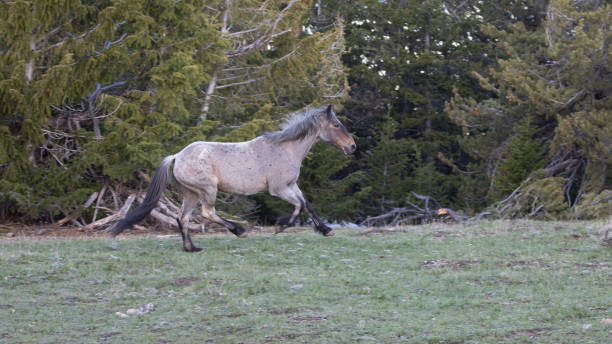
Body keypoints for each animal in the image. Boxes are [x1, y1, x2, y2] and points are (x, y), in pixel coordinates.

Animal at [112, 103, 356, 251]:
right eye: (336, 125)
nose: (352, 146)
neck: (286, 149)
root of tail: (177, 156)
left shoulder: (291, 185)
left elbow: (307, 204)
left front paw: (326, 230)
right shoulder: (278, 189)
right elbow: (298, 206)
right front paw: (280, 226)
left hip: (191, 193)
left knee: (183, 217)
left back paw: (192, 248)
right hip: (208, 190)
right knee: (207, 213)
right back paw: (239, 231)